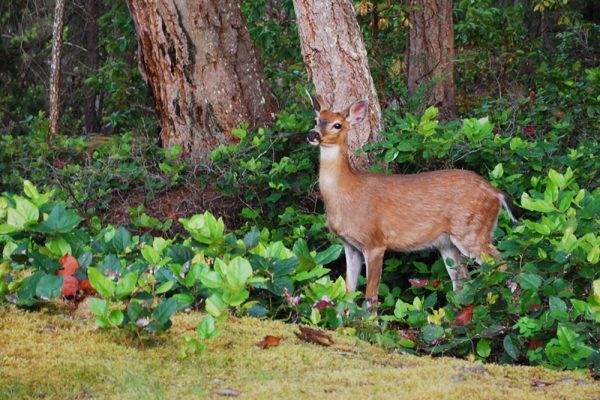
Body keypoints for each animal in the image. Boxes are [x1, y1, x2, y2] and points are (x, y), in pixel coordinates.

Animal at [304, 93, 520, 306]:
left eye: (337, 125)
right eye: (316, 120)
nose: (313, 134)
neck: (347, 193)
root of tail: (495, 192)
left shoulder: (375, 242)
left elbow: (370, 297)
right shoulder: (349, 245)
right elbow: (348, 293)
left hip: (471, 230)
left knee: (504, 265)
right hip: (449, 242)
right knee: (461, 283)